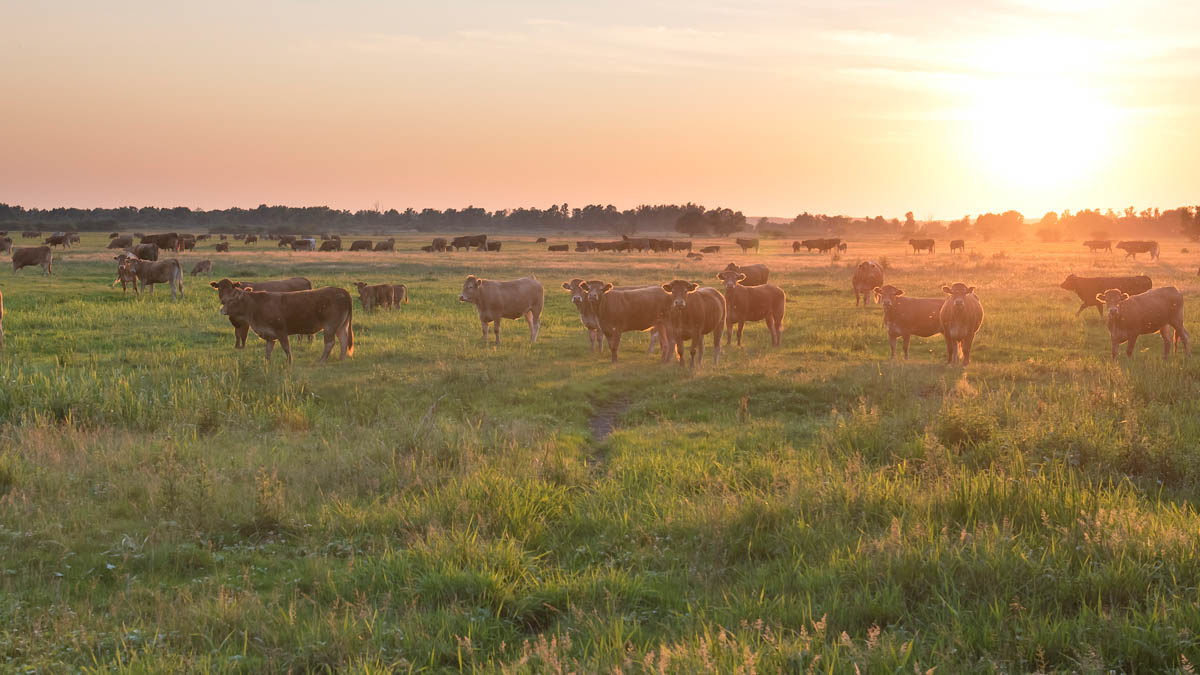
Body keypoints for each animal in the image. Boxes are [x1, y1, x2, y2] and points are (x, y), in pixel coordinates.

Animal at [220, 284, 352, 362]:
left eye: (231, 300)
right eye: (224, 299)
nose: (222, 310)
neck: (256, 306)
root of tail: (342, 291)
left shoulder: (281, 331)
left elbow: (286, 348)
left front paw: (289, 362)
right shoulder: (270, 335)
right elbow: (268, 350)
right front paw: (266, 363)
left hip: (330, 326)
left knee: (330, 343)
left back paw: (322, 361)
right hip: (341, 326)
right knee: (343, 340)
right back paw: (342, 359)